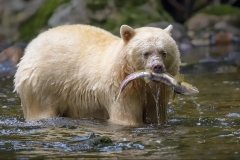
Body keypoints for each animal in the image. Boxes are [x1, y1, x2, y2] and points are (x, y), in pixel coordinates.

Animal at [14, 24, 180, 126]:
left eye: (164, 52)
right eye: (146, 53)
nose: (157, 66)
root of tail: (32, 44)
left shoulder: (156, 92)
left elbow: (155, 113)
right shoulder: (121, 88)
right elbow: (126, 116)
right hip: (42, 83)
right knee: (41, 109)